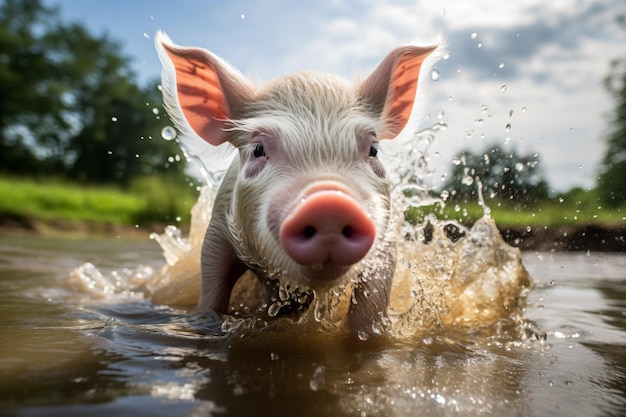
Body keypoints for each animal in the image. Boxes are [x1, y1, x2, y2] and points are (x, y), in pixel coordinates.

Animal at [156, 30, 436, 334]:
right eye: (258, 149)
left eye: (373, 149)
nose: (329, 203)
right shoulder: (218, 230)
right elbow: (212, 293)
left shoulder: (386, 240)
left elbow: (370, 308)